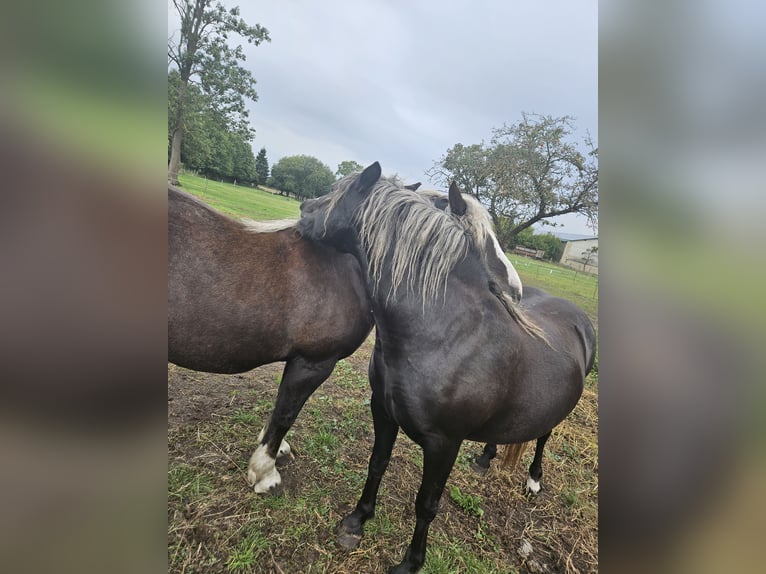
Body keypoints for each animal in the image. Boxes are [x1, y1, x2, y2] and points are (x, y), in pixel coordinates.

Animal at [168, 184, 375, 493]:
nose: (305, 207)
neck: (346, 268)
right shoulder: (314, 363)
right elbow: (286, 413)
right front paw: (265, 471)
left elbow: (280, 405)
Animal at [297, 162, 597, 574]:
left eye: (337, 191)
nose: (304, 208)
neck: (445, 333)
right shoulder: (383, 412)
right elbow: (377, 464)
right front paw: (356, 521)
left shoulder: (444, 444)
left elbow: (427, 504)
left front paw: (410, 563)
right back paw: (486, 457)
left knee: (544, 436)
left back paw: (534, 480)